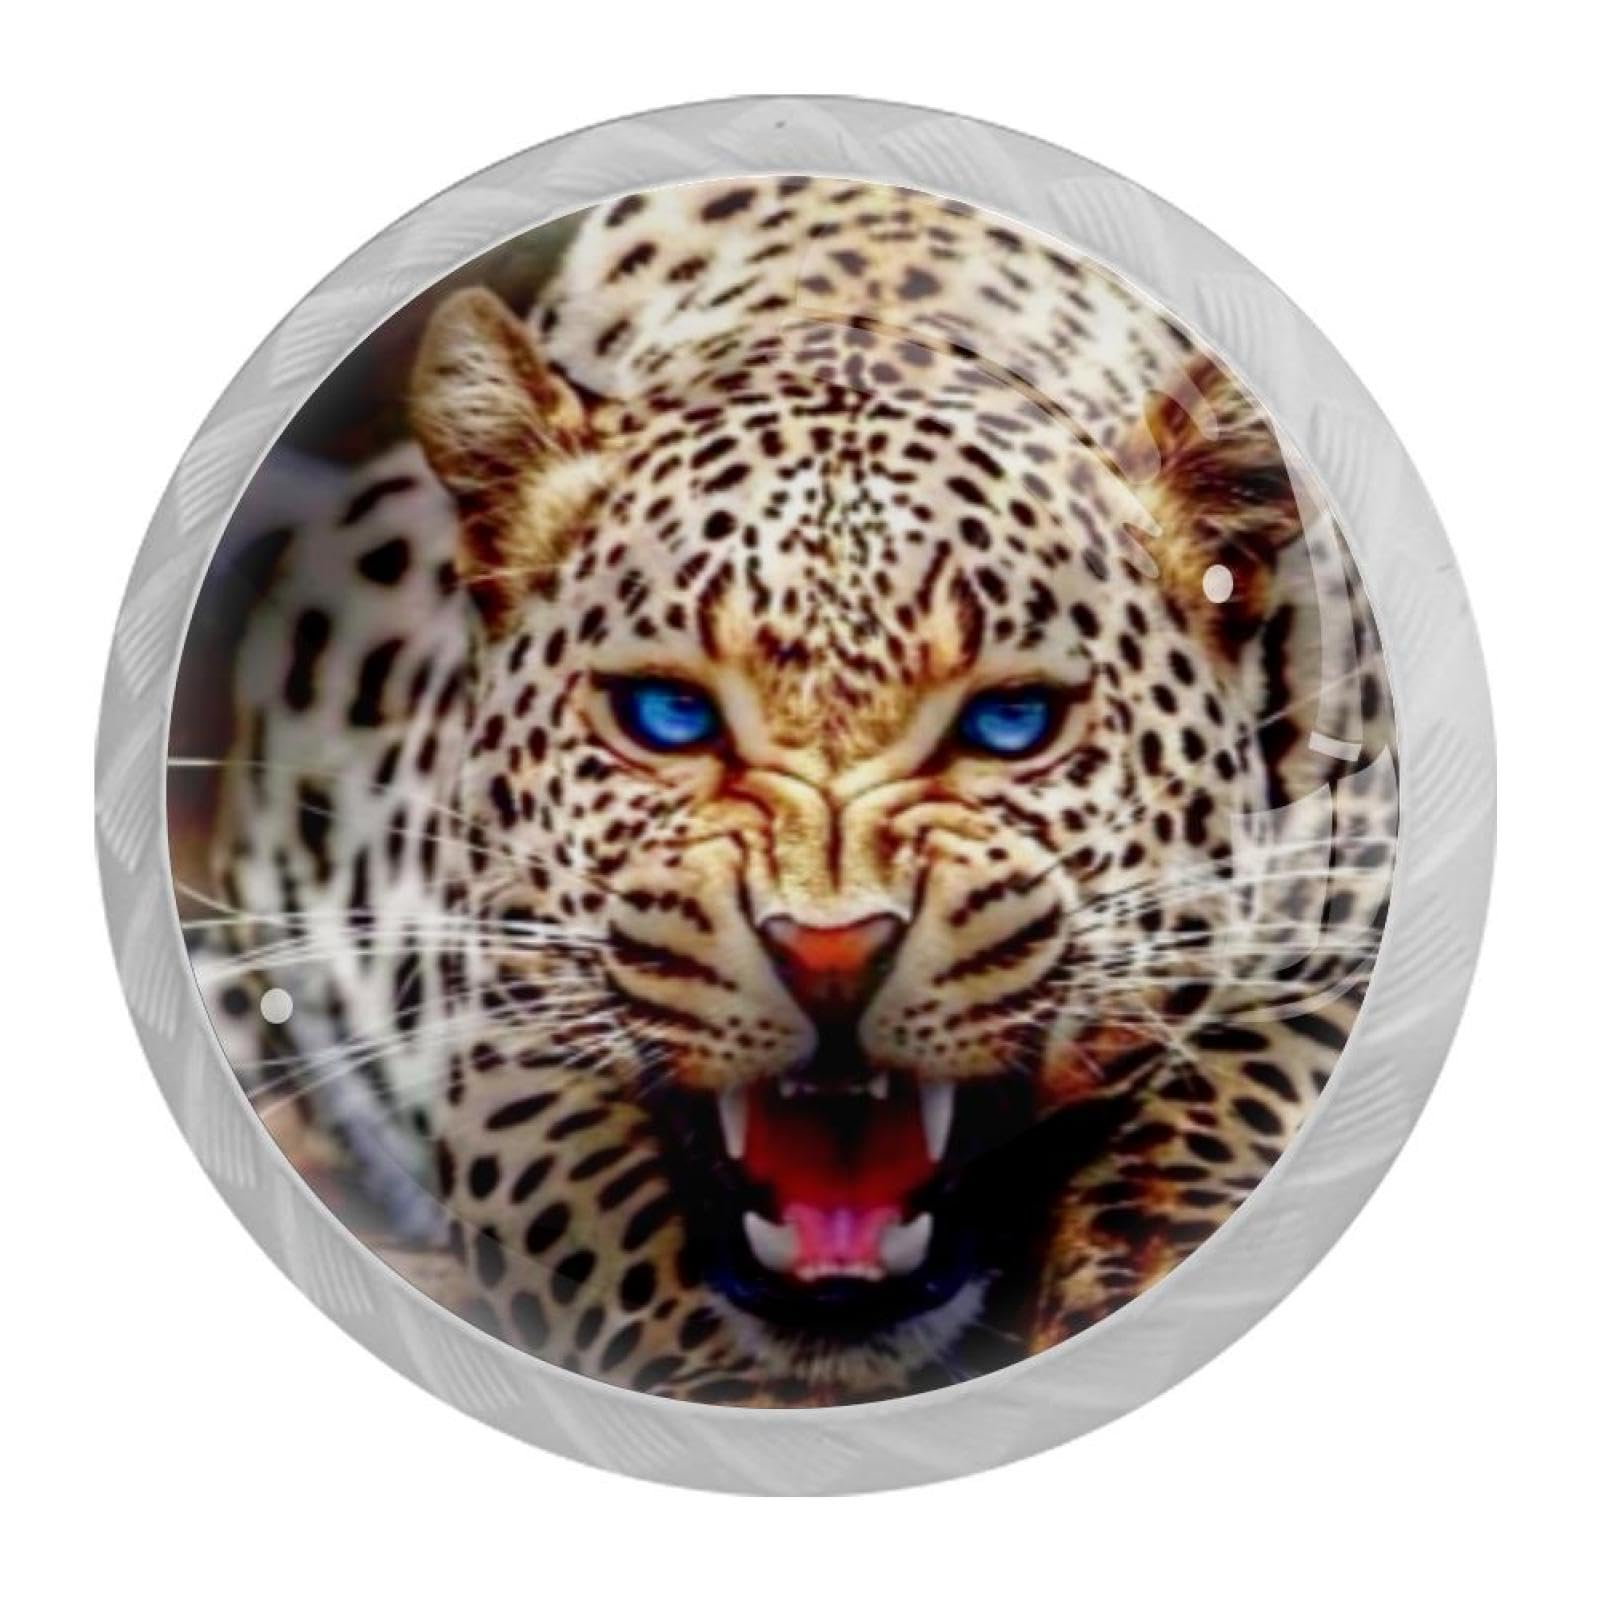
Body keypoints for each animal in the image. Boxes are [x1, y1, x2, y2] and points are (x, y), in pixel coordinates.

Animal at [185, 177, 1398, 1405]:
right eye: (667, 715)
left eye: (1010, 723)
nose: (828, 957)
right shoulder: (503, 1022)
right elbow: (618, 1252)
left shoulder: (1358, 902)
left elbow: (1229, 1098)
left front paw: (1140, 1271)